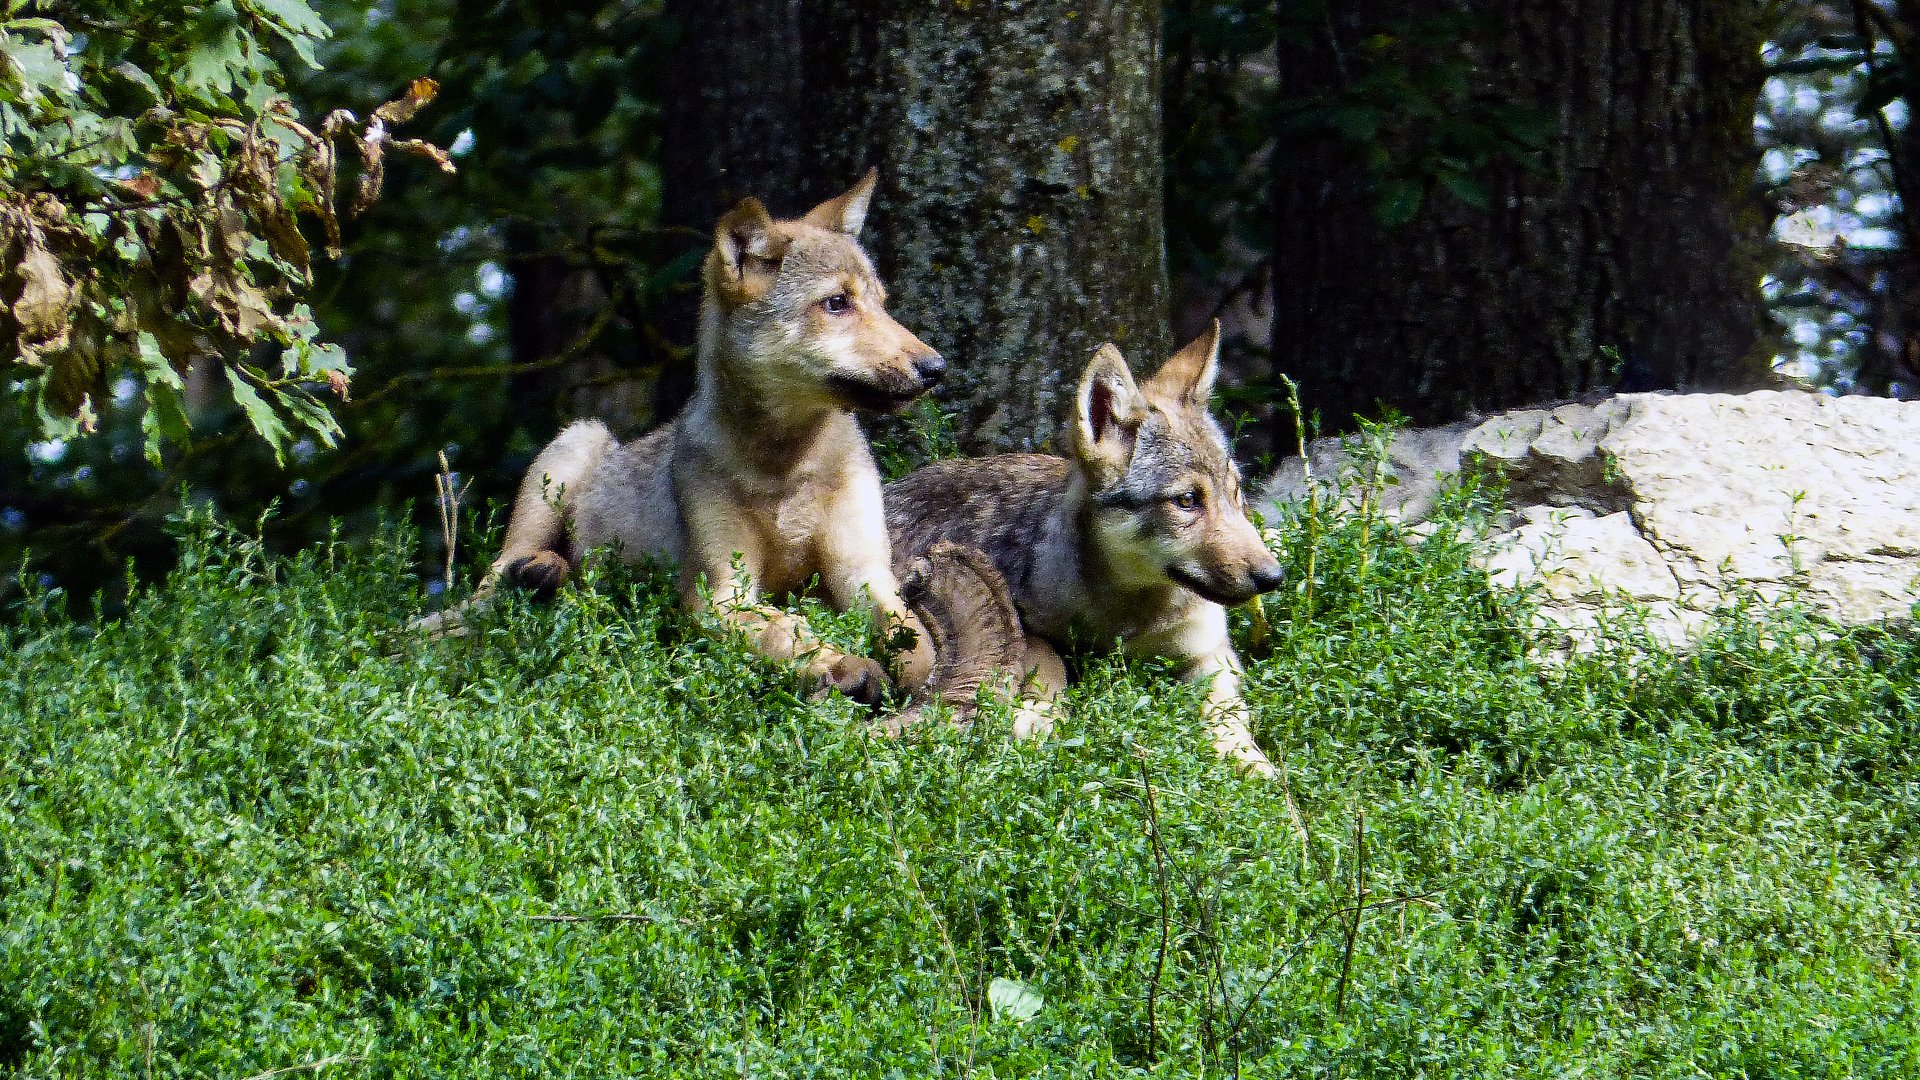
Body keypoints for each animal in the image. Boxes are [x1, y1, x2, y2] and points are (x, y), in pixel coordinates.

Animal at [433, 170, 944, 699]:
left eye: (882, 304)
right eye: (837, 303)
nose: (936, 368)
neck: (785, 464)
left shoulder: (865, 574)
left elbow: (917, 650)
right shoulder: (718, 593)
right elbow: (788, 632)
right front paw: (841, 665)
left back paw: (551, 573)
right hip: (577, 441)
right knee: (490, 584)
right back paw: (532, 573)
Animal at [887, 322, 1290, 768]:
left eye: (1236, 494)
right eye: (1187, 500)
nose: (1274, 577)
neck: (1125, 617)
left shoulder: (1211, 653)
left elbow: (1228, 717)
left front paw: (1256, 768)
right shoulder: (1026, 625)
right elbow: (1050, 667)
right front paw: (1037, 717)